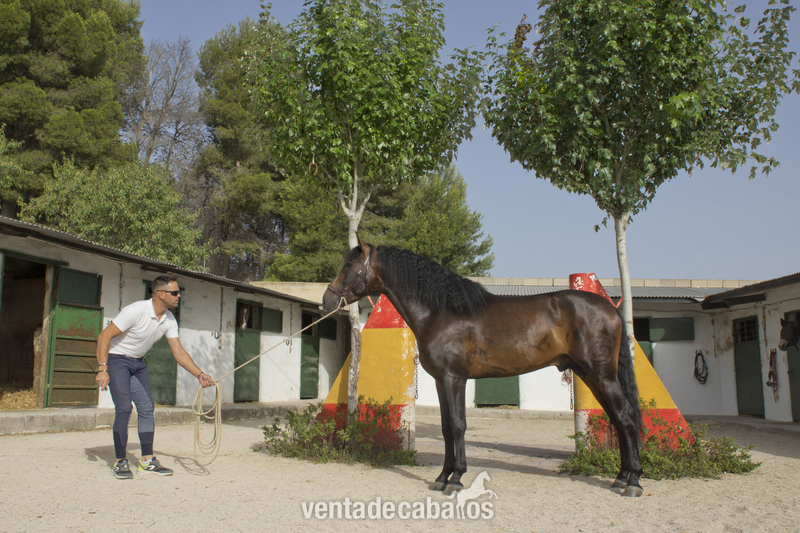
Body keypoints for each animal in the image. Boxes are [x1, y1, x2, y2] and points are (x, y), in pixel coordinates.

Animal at [322, 237, 644, 497]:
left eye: (349, 264)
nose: (327, 299)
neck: (441, 312)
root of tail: (610, 309)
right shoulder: (441, 380)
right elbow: (446, 428)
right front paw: (442, 477)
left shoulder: (454, 378)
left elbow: (457, 425)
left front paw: (455, 479)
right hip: (589, 374)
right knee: (617, 418)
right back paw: (620, 477)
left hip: (602, 374)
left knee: (625, 417)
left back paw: (633, 482)